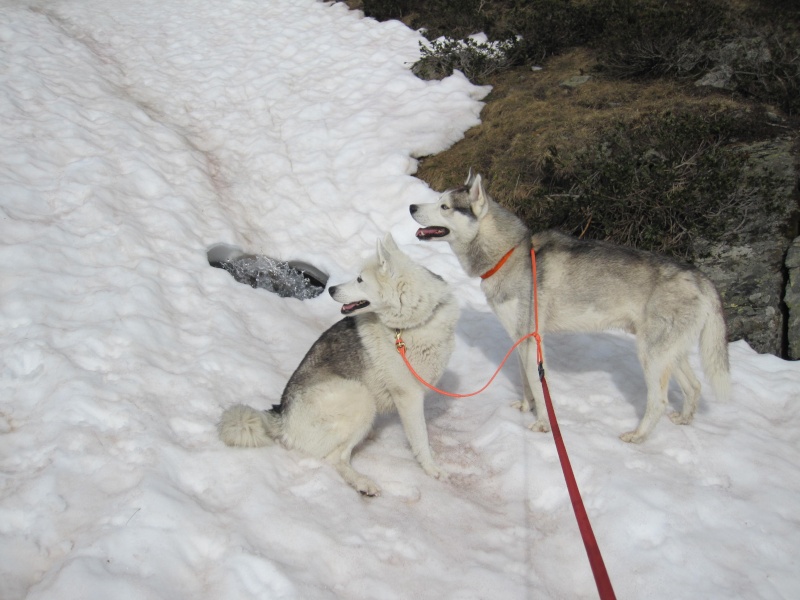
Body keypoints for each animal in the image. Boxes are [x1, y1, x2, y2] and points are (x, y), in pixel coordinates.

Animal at [219, 232, 460, 494]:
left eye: (360, 279)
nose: (332, 289)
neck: (414, 323)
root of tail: (282, 416)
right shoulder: (408, 396)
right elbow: (420, 438)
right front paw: (432, 469)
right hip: (360, 395)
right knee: (336, 458)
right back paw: (362, 482)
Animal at [412, 171, 732, 442]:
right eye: (438, 200)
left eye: (444, 206)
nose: (412, 206)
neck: (510, 253)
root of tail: (700, 277)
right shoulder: (521, 340)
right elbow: (527, 384)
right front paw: (526, 407)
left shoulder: (531, 342)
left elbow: (539, 389)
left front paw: (543, 424)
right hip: (670, 355)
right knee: (694, 386)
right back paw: (684, 419)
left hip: (651, 355)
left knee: (659, 401)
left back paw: (638, 436)